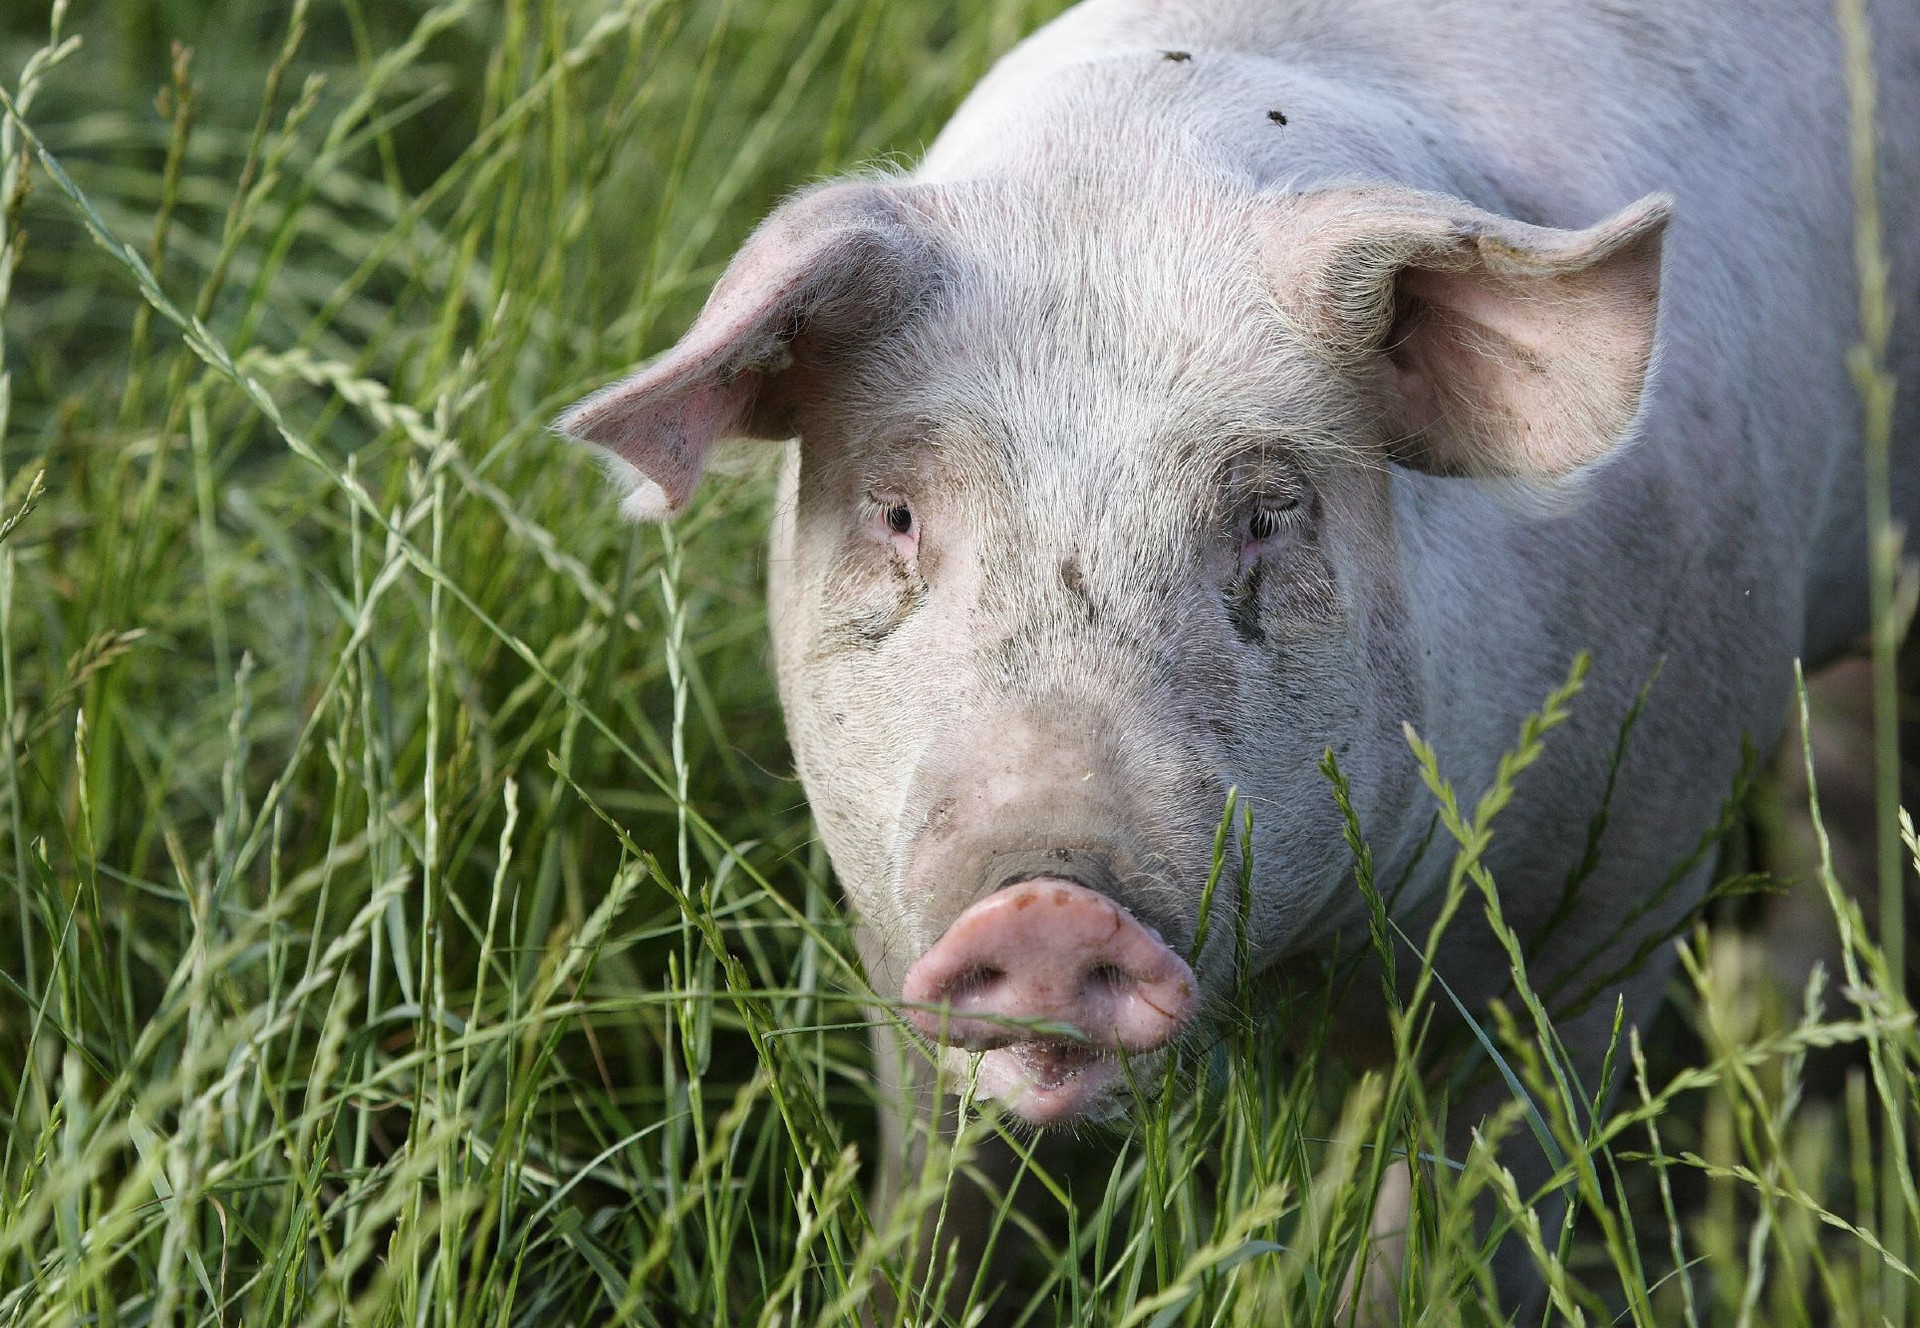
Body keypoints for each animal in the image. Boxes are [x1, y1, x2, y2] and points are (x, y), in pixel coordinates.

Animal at [556, 0, 1920, 1313]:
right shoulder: (889, 930)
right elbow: (946, 1197)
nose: (1047, 898)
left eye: (1269, 512)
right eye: (896, 512)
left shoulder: (1612, 901)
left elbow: (1465, 1224)